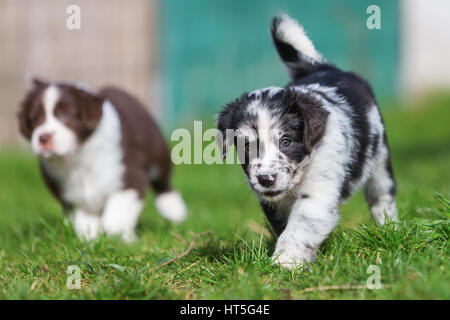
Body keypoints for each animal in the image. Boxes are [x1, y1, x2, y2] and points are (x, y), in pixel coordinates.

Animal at [18, 80, 187, 242]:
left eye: (64, 115)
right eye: (33, 120)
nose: (43, 137)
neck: (76, 157)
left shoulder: (129, 177)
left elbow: (116, 217)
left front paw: (120, 239)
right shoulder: (70, 194)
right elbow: (84, 220)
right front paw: (91, 240)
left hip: (157, 149)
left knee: (163, 181)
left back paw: (174, 211)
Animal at [218, 15, 398, 270]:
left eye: (286, 141)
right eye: (247, 146)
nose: (265, 180)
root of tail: (323, 68)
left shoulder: (318, 191)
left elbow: (299, 227)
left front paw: (285, 263)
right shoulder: (274, 204)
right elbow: (286, 227)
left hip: (379, 159)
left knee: (382, 198)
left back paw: (389, 229)